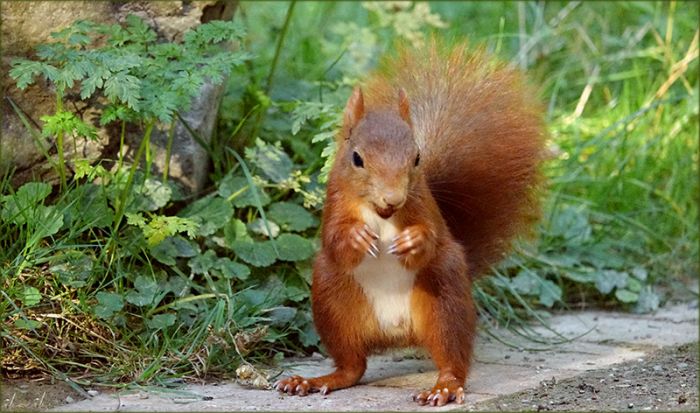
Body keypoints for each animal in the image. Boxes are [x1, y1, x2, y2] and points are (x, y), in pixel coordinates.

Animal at [275, 41, 545, 407]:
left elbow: (432, 238)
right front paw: (356, 237)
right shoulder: (334, 206)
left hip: (444, 297)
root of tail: (396, 333)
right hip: (333, 300)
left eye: (417, 158)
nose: (393, 198)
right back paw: (315, 380)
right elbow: (334, 240)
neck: (382, 215)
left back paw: (444, 387)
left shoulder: (424, 208)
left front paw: (413, 241)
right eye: (357, 158)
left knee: (451, 359)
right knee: (352, 366)